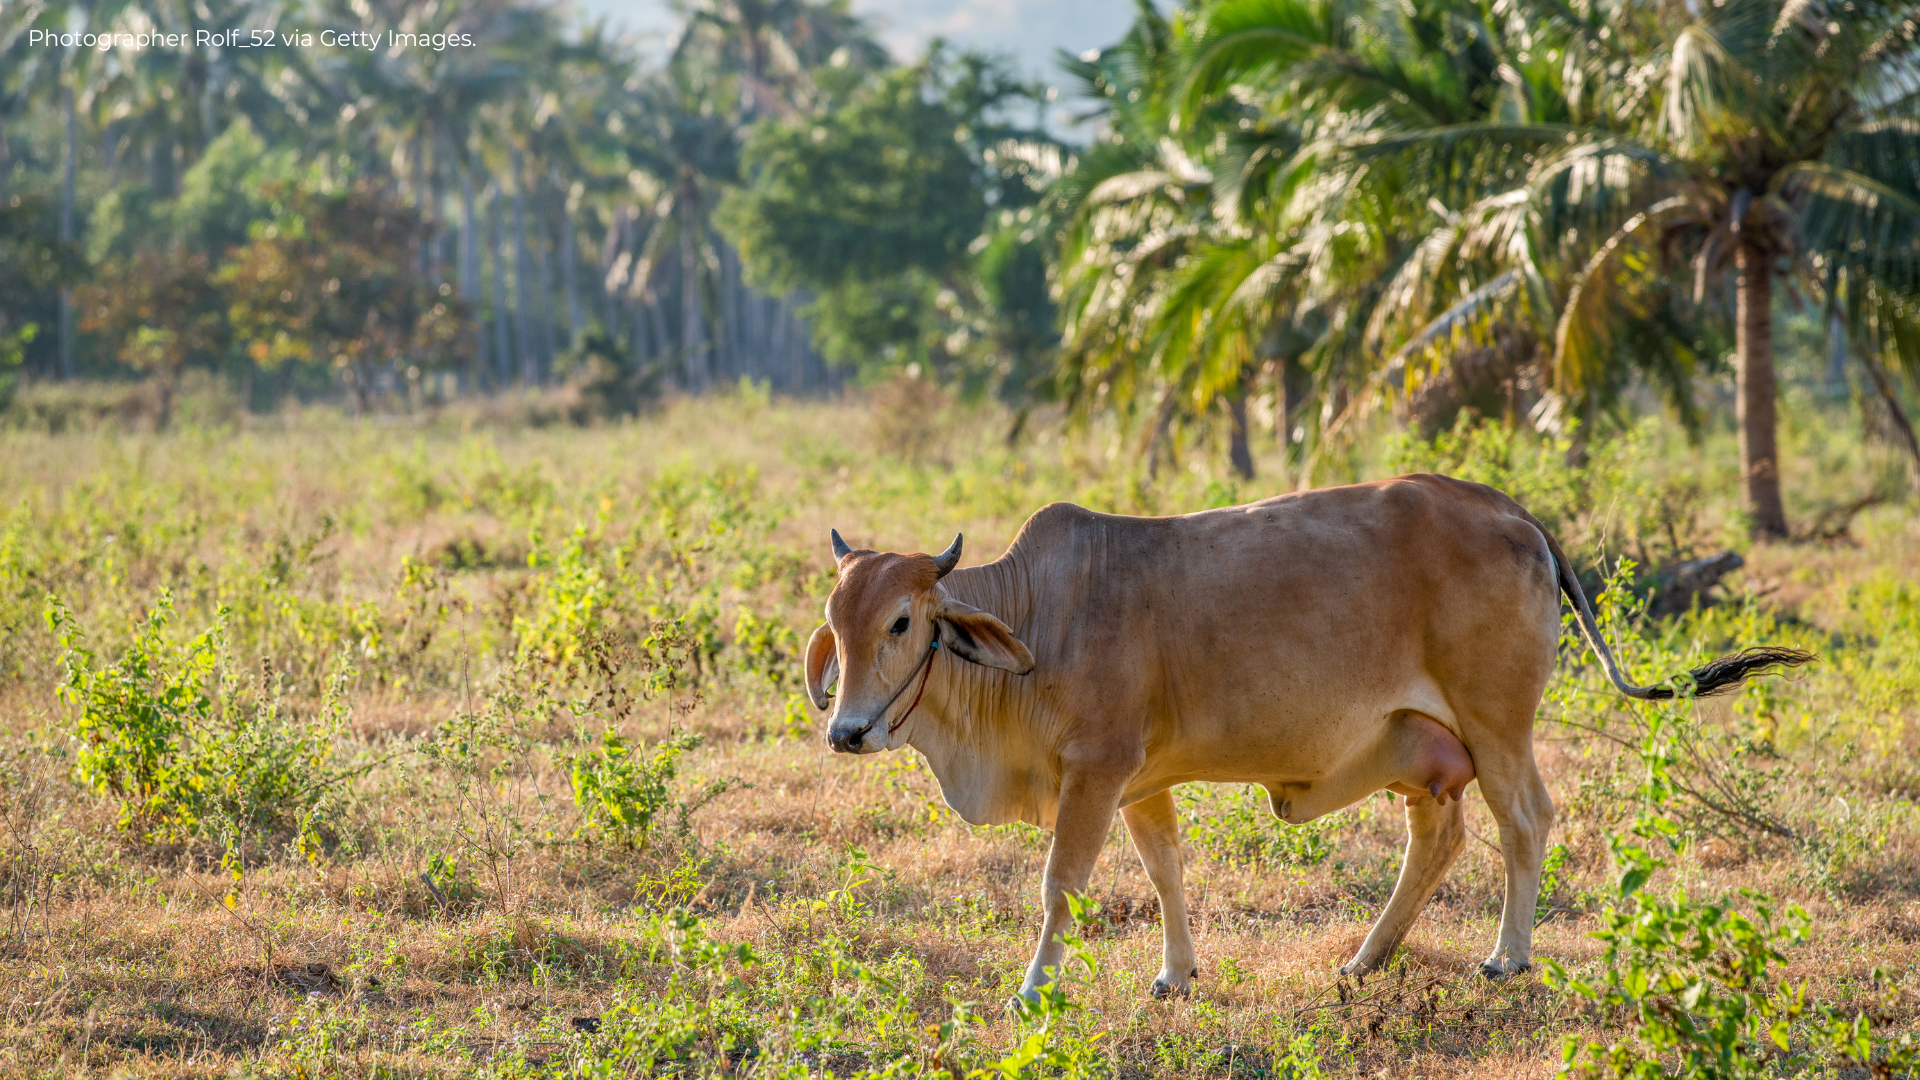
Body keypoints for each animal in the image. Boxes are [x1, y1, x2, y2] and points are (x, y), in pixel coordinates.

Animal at [798, 474, 1812, 999]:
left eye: (902, 623)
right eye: (837, 624)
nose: (846, 731)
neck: (1041, 617)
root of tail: (1513, 511)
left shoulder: (1095, 772)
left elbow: (1061, 886)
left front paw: (1035, 987)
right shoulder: (1141, 782)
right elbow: (1165, 874)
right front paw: (1177, 975)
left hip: (1497, 728)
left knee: (1525, 821)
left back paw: (1505, 954)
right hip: (1418, 747)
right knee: (1438, 838)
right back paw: (1367, 957)